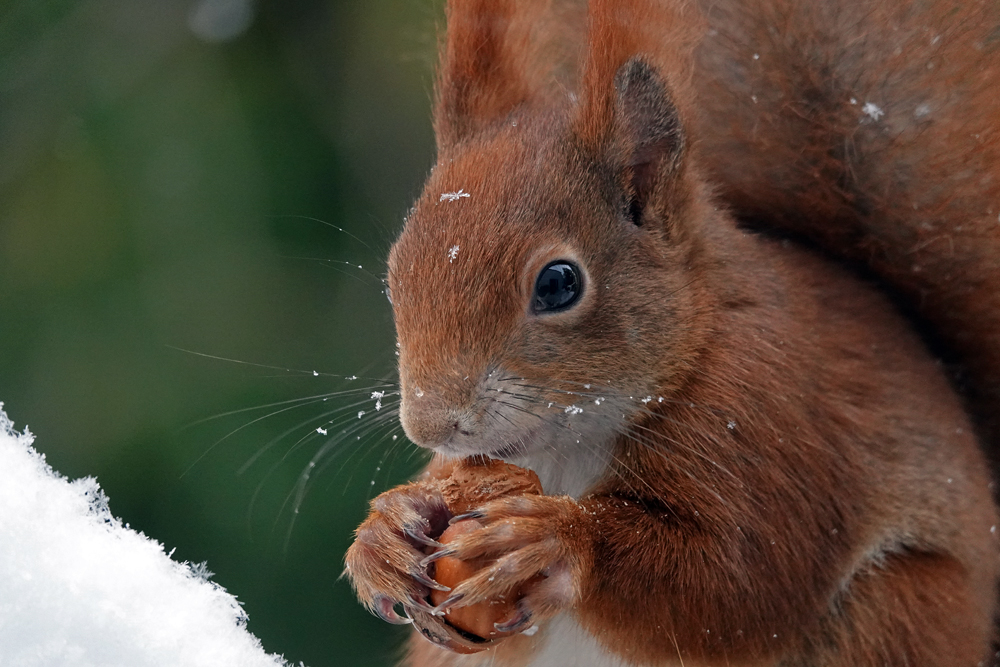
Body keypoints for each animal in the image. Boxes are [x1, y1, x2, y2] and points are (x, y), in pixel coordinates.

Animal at [344, 0, 1000, 664]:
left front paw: (559, 540)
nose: (430, 426)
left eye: (558, 284)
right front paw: (383, 535)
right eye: (396, 274)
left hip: (892, 615)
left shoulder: (771, 425)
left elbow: (738, 582)